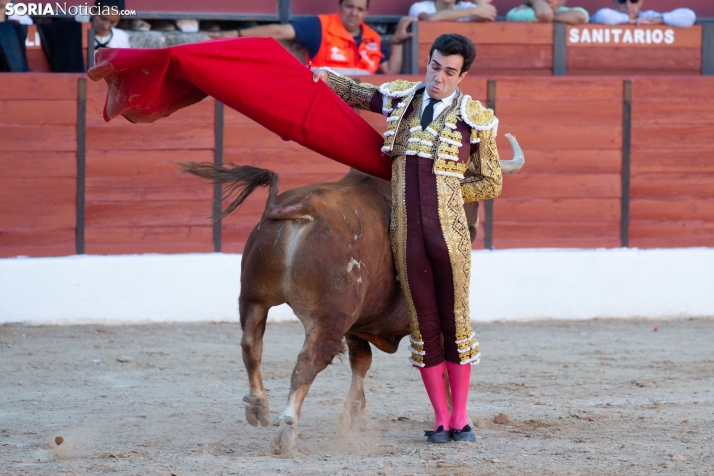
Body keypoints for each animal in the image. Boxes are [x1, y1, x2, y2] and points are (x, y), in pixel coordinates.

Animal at [181, 134, 520, 454]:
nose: (474, 226)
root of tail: (301, 208)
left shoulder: (358, 324)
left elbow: (361, 362)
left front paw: (354, 417)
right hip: (329, 318)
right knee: (307, 362)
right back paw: (286, 428)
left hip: (253, 298)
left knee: (251, 346)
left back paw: (258, 406)